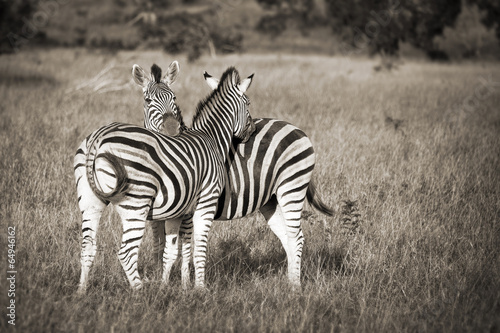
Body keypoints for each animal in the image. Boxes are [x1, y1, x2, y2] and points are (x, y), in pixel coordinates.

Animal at [73, 65, 254, 290]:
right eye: (248, 103)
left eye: (174, 98)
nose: (253, 129)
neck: (210, 138)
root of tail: (99, 136)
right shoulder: (206, 201)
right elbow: (198, 249)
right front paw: (200, 288)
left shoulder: (177, 211)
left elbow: (171, 250)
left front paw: (167, 287)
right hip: (137, 203)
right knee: (126, 253)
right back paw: (141, 292)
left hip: (90, 201)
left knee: (87, 247)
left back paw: (82, 291)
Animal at [138, 67, 332, 288]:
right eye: (147, 100)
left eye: (174, 99)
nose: (171, 131)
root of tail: (295, 128)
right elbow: (160, 247)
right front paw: (161, 282)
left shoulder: (188, 212)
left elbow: (184, 249)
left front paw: (185, 285)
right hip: (270, 199)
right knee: (286, 236)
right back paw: (290, 280)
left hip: (292, 187)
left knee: (296, 236)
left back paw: (295, 286)